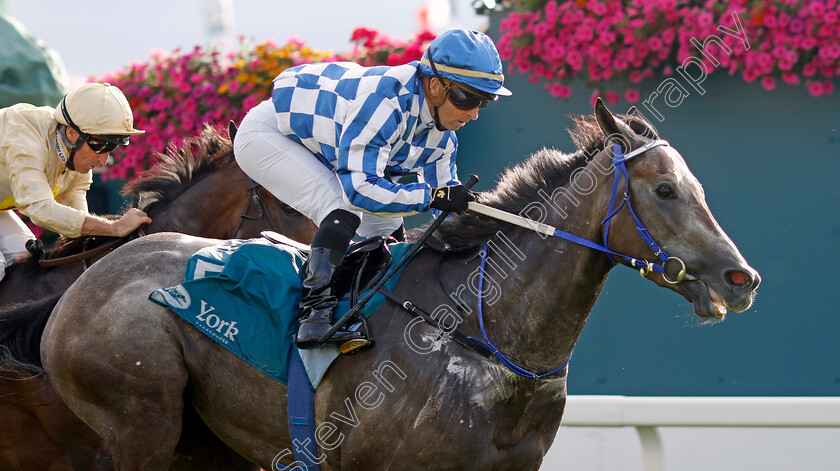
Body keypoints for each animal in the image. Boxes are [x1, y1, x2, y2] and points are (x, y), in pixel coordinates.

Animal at [37, 101, 760, 470]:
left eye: (694, 185)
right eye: (664, 190)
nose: (741, 278)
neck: (483, 335)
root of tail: (85, 281)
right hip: (140, 422)